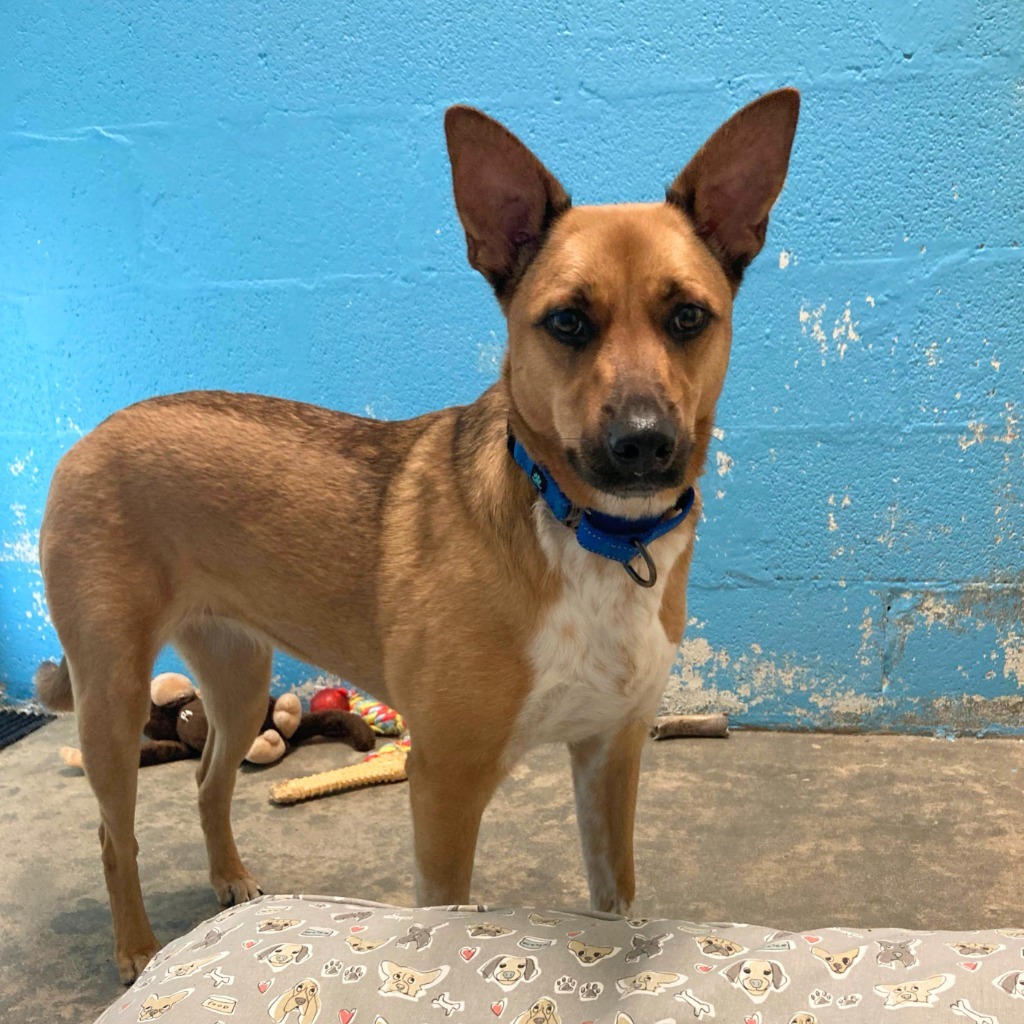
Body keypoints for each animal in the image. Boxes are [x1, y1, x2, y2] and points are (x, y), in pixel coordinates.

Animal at [32, 90, 798, 983]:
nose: (643, 443)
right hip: (113, 696)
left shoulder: (611, 754)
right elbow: (445, 916)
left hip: (239, 676)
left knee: (207, 785)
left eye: (687, 317)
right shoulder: (445, 784)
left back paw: (229, 879)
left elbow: (617, 898)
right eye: (568, 322)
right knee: (113, 834)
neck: (591, 535)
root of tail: (96, 432)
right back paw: (136, 947)